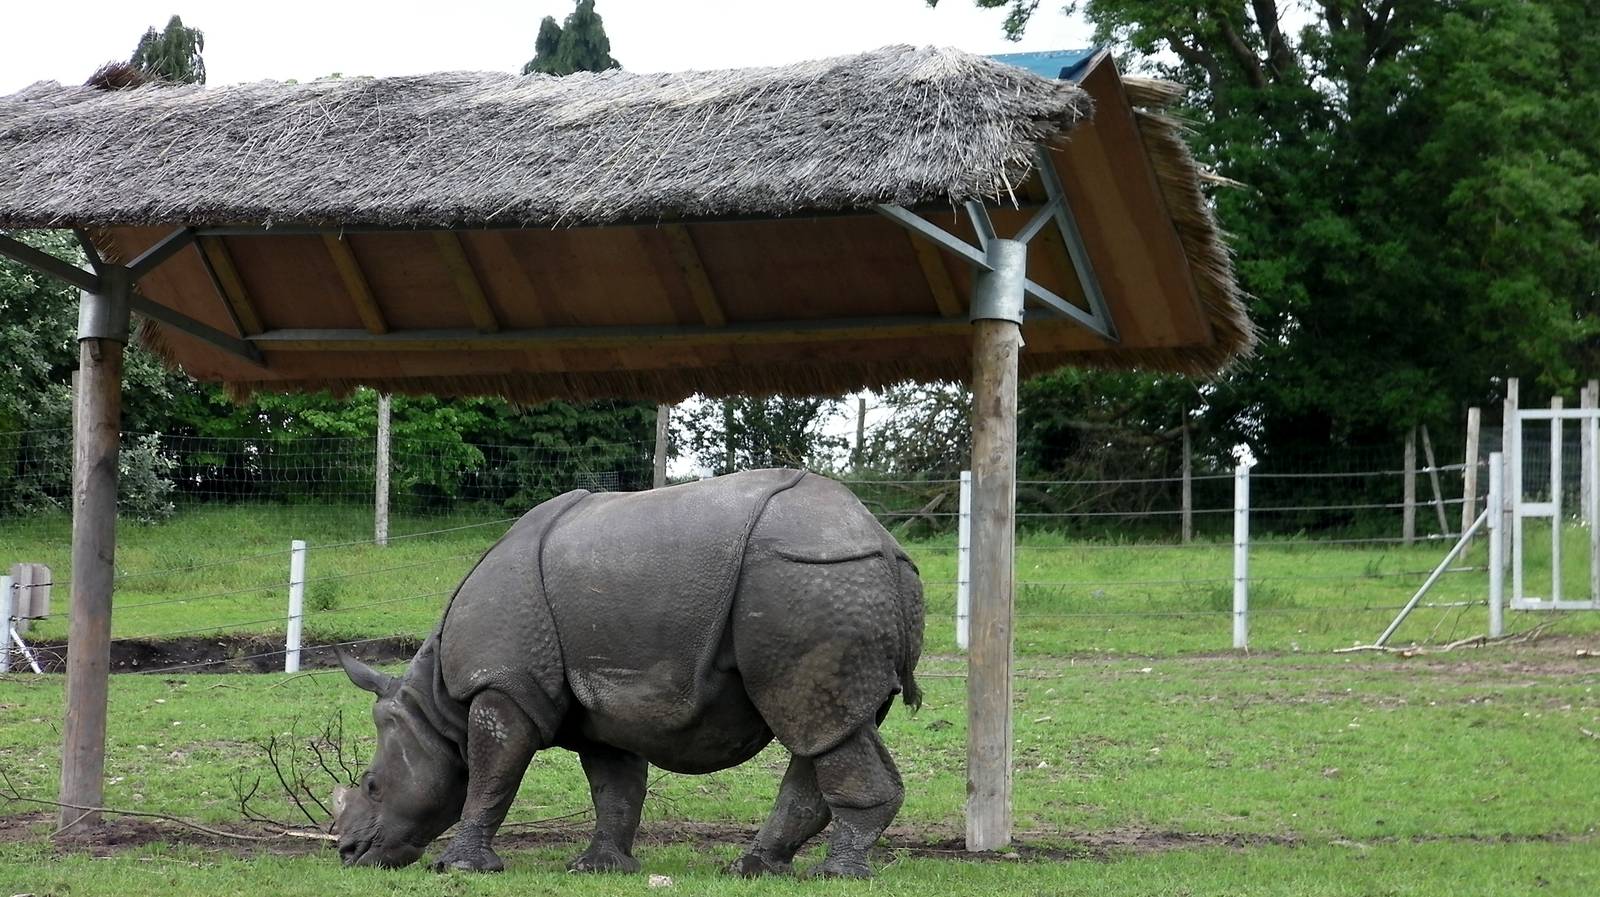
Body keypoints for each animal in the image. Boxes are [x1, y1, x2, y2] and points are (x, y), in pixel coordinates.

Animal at [332, 469, 925, 878]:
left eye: (373, 785)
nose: (348, 852)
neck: (436, 709)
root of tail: (883, 540)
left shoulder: (505, 685)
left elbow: (490, 774)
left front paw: (457, 867)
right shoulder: (603, 702)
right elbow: (615, 787)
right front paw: (597, 867)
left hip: (809, 577)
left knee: (813, 721)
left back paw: (835, 875)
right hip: (829, 580)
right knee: (828, 728)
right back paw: (752, 869)